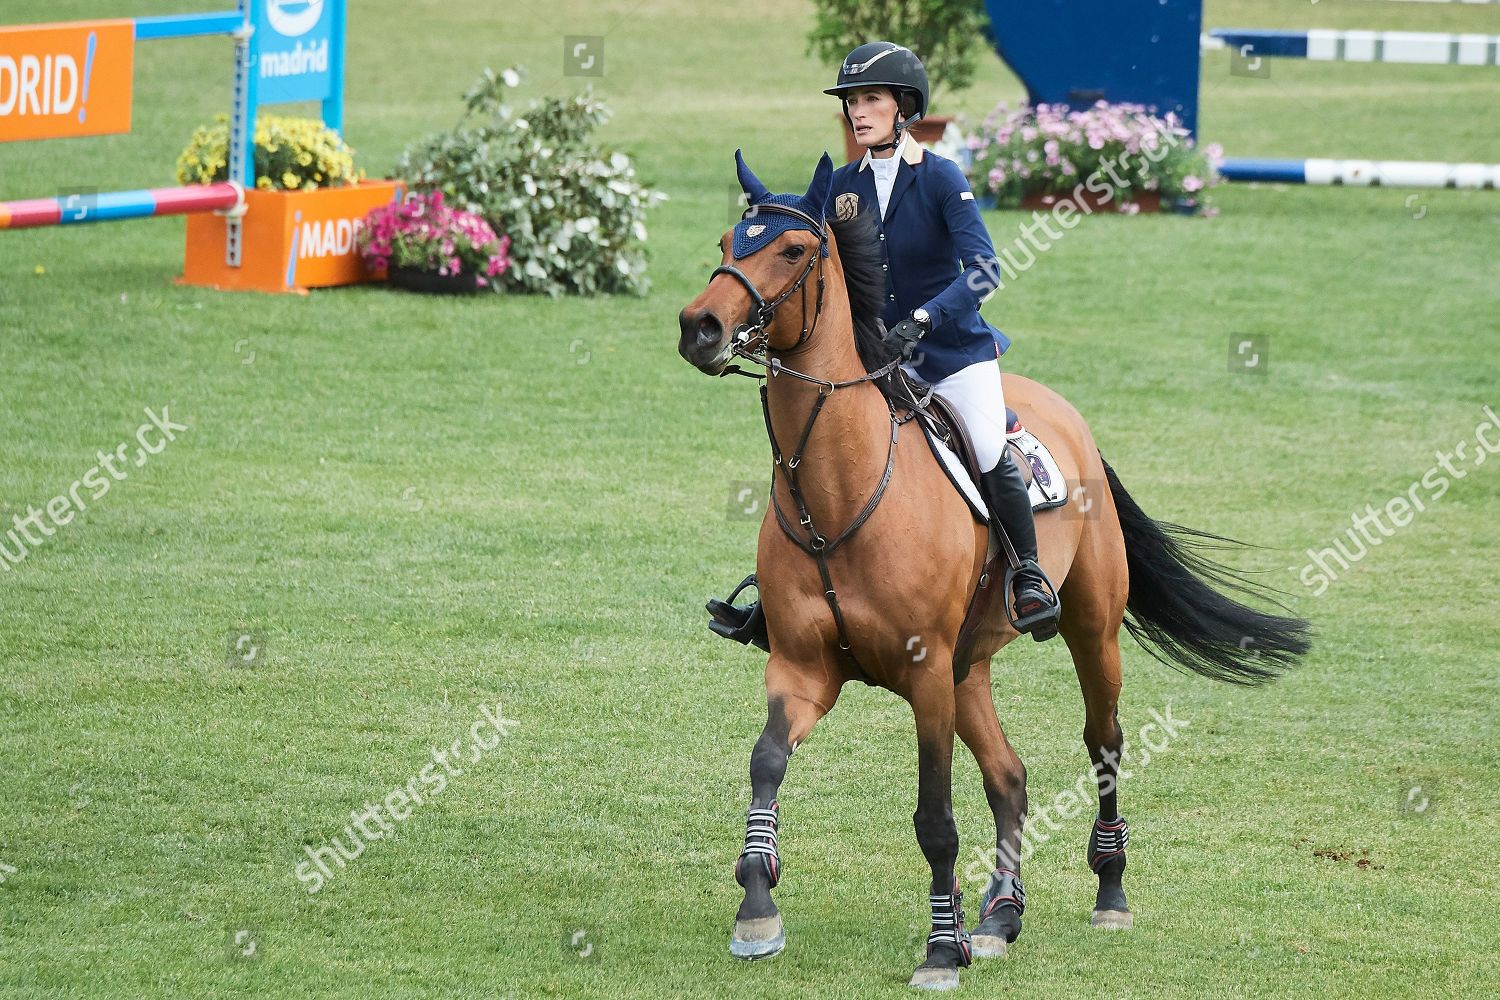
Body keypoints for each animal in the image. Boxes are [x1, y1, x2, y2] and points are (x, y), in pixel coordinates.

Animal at [675, 152, 1308, 989]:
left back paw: (1108, 892)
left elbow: (935, 820)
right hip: (969, 665)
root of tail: (1064, 413)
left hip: (1087, 632)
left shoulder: (924, 674)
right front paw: (757, 906)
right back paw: (1001, 914)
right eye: (725, 241)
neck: (837, 493)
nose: (700, 327)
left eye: (792, 251)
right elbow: (767, 762)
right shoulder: (803, 668)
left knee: (1103, 742)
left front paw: (943, 949)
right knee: (1009, 774)